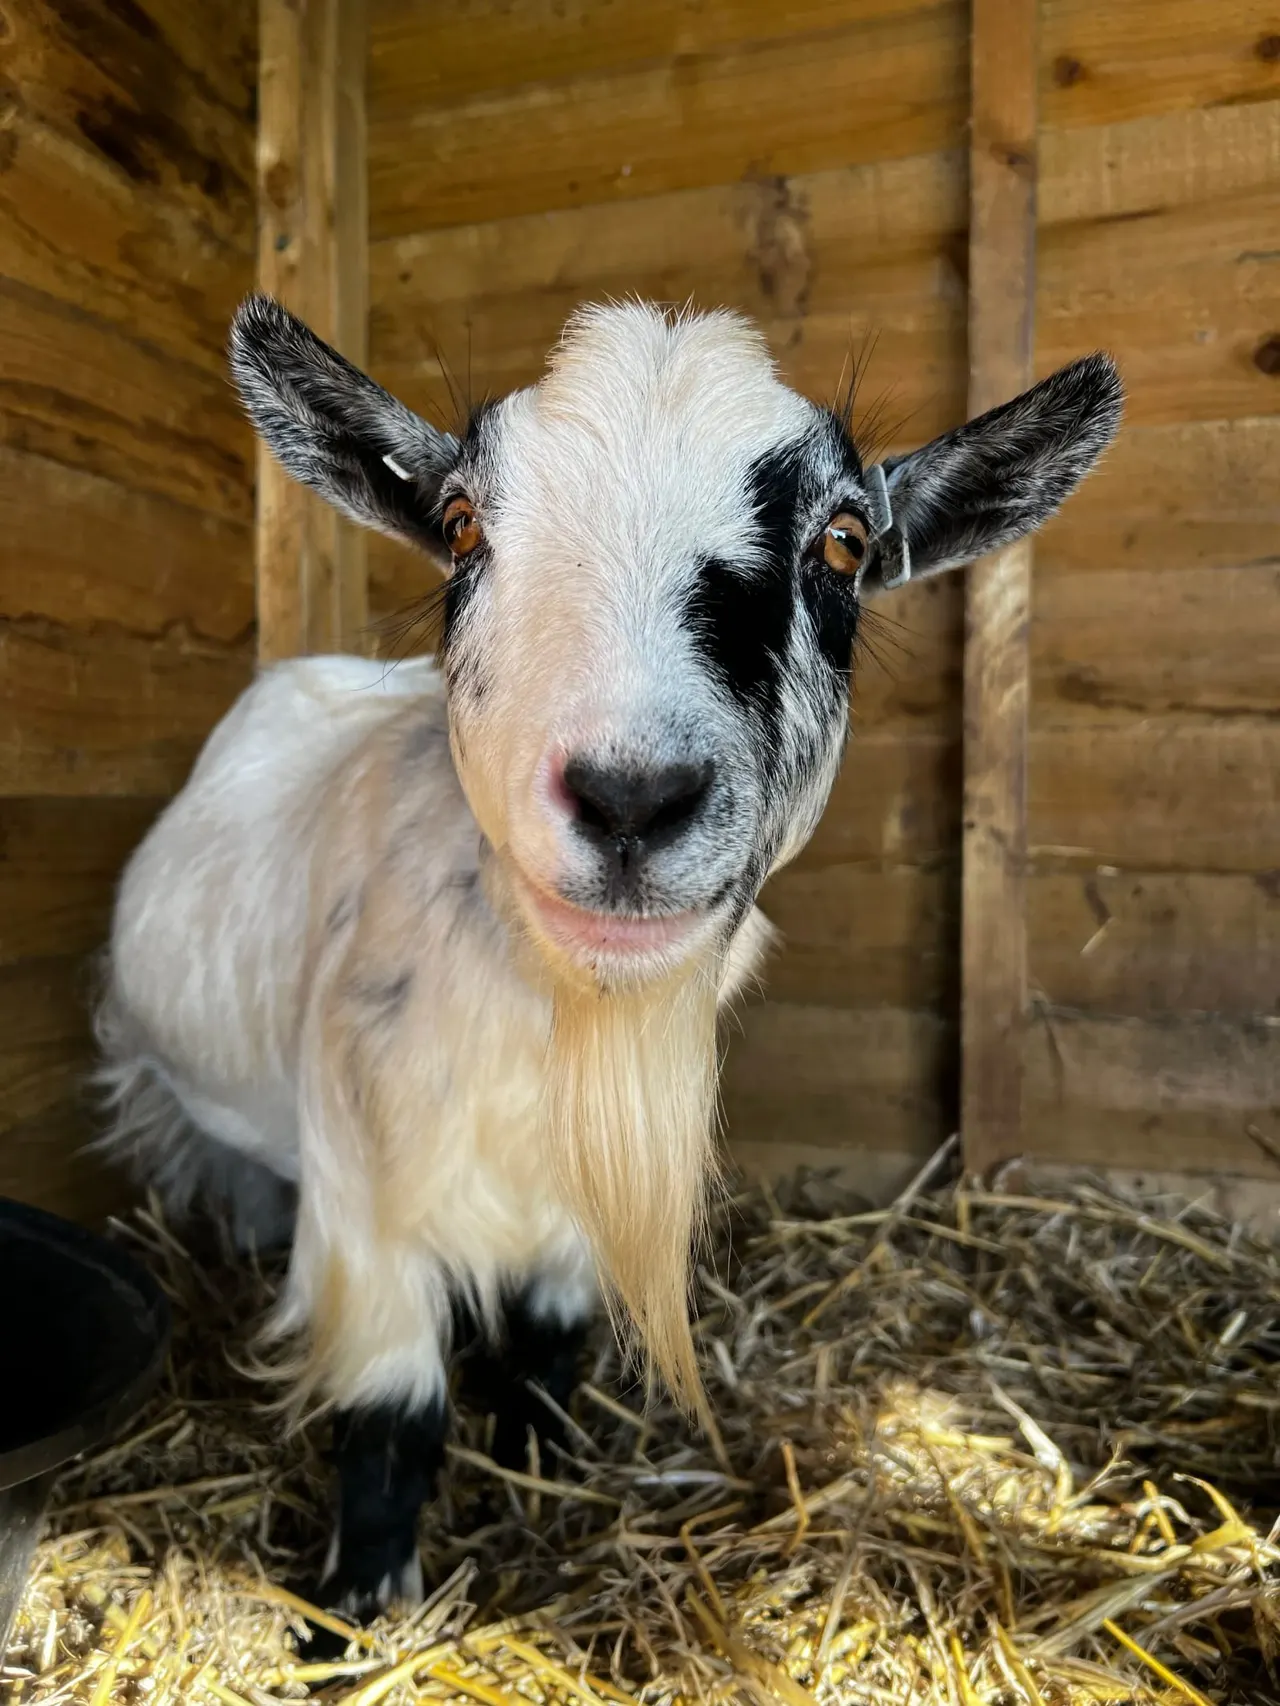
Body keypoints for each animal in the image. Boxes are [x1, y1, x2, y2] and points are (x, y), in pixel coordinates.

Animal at [96, 296, 1122, 1616]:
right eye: (460, 523)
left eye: (844, 541)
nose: (632, 795)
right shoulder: (363, 1206)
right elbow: (391, 1418)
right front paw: (361, 1610)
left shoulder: (574, 1215)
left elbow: (544, 1348)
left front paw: (540, 1461)